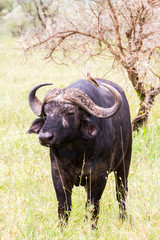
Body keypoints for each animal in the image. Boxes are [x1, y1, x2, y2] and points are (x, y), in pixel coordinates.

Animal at [27, 76, 132, 227]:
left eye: (69, 112)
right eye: (46, 113)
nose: (44, 137)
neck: (77, 152)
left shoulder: (99, 175)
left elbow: (93, 207)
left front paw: (92, 228)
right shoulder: (58, 173)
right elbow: (64, 207)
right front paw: (62, 228)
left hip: (124, 162)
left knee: (121, 193)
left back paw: (123, 219)